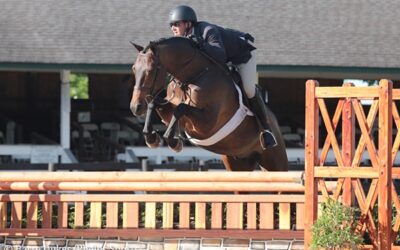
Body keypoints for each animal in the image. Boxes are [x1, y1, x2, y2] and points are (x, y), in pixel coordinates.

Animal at [131, 35, 288, 172]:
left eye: (150, 70)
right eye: (133, 68)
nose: (135, 107)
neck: (193, 75)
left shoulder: (207, 124)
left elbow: (180, 109)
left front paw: (174, 142)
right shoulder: (171, 112)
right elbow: (155, 104)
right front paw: (151, 138)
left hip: (274, 161)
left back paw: (268, 137)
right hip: (237, 162)